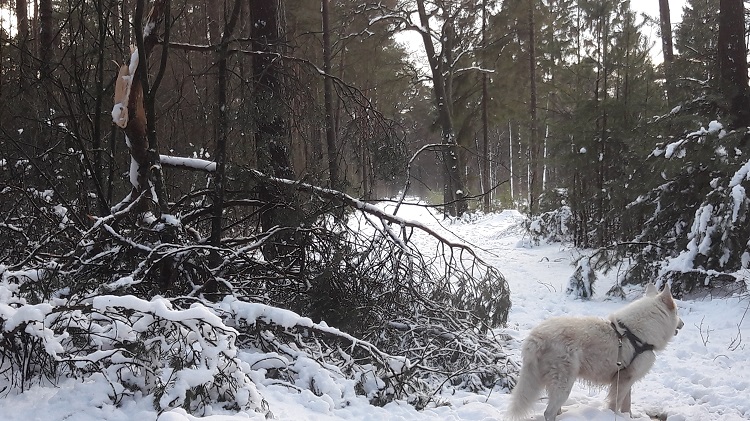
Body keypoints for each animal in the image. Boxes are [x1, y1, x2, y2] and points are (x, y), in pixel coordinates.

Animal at [508, 284, 684, 418]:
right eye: (677, 312)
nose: (682, 324)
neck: (636, 334)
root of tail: (536, 337)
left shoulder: (627, 377)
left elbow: (627, 405)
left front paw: (628, 417)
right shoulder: (624, 380)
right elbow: (615, 404)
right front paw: (615, 416)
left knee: (554, 409)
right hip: (564, 384)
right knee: (548, 413)